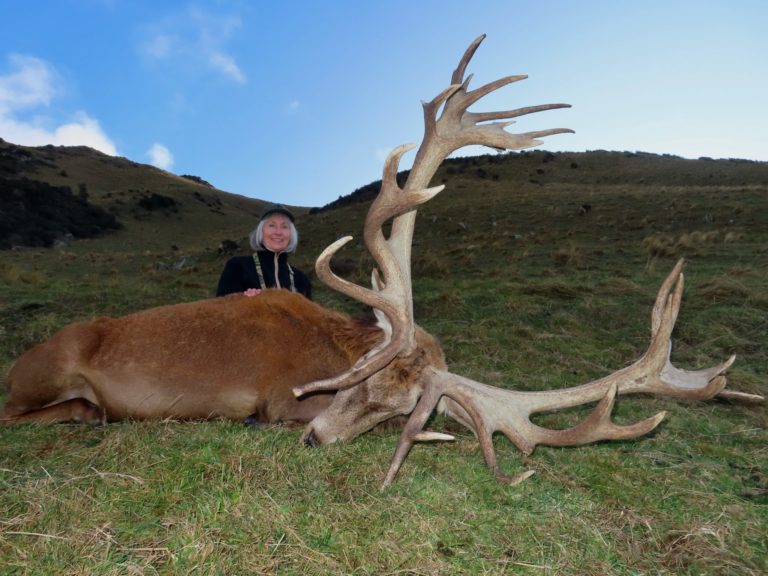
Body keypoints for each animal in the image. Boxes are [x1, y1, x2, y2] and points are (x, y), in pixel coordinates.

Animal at [2, 35, 762, 488]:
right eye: (359, 386)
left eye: (396, 411)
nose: (317, 439)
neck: (332, 352)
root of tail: (20, 362)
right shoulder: (277, 396)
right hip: (45, 372)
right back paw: (85, 414)